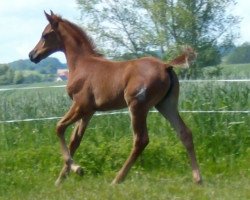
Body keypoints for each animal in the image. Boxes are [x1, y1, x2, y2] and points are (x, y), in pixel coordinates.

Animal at [28, 10, 201, 186]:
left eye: (45, 35)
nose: (32, 55)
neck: (82, 64)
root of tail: (166, 65)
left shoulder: (80, 105)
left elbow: (59, 127)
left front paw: (76, 169)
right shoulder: (89, 111)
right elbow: (75, 140)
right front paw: (61, 179)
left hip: (137, 106)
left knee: (141, 140)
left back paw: (117, 179)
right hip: (166, 104)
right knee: (185, 133)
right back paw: (198, 178)